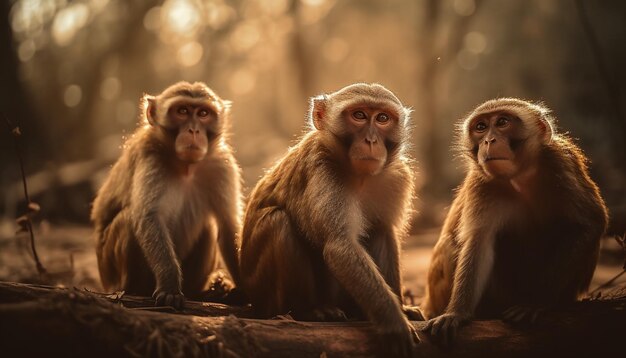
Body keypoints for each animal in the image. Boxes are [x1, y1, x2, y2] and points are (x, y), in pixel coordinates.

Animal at [90, 80, 241, 308]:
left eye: (203, 113)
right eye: (182, 111)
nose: (194, 130)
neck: (186, 166)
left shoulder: (221, 165)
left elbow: (228, 224)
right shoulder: (150, 157)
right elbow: (149, 218)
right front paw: (170, 287)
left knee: (208, 227)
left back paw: (204, 292)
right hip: (109, 268)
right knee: (128, 221)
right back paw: (133, 289)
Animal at [241, 83, 422, 356]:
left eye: (382, 118)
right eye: (359, 115)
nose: (371, 140)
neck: (360, 176)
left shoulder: (397, 176)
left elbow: (385, 231)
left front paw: (401, 309)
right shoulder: (322, 168)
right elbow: (340, 246)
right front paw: (392, 320)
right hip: (262, 292)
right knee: (278, 221)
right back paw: (308, 311)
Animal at [420, 98, 604, 344]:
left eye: (502, 122)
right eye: (481, 127)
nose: (489, 140)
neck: (519, 176)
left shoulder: (561, 163)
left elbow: (588, 224)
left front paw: (535, 302)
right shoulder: (482, 184)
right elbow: (479, 243)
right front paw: (456, 313)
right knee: (450, 245)